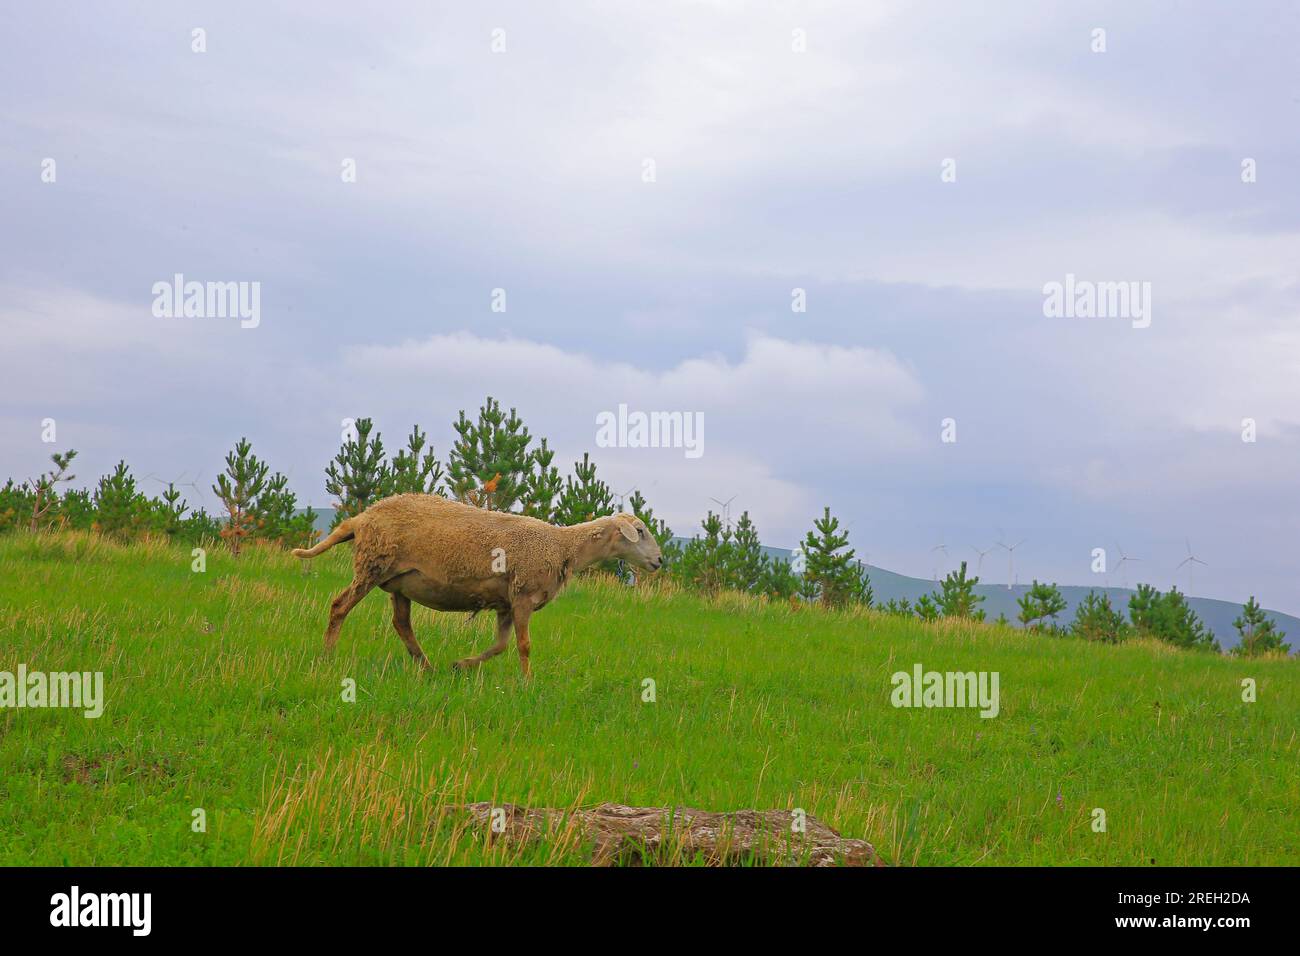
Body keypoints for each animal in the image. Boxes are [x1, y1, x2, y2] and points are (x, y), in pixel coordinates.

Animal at [293, 496, 660, 676]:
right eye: (640, 531)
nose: (659, 561)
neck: (562, 547)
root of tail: (361, 518)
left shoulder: (507, 604)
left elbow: (499, 646)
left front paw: (462, 665)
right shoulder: (523, 596)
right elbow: (524, 646)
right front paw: (528, 683)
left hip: (399, 583)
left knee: (401, 624)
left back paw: (427, 666)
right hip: (372, 565)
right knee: (340, 606)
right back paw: (328, 657)